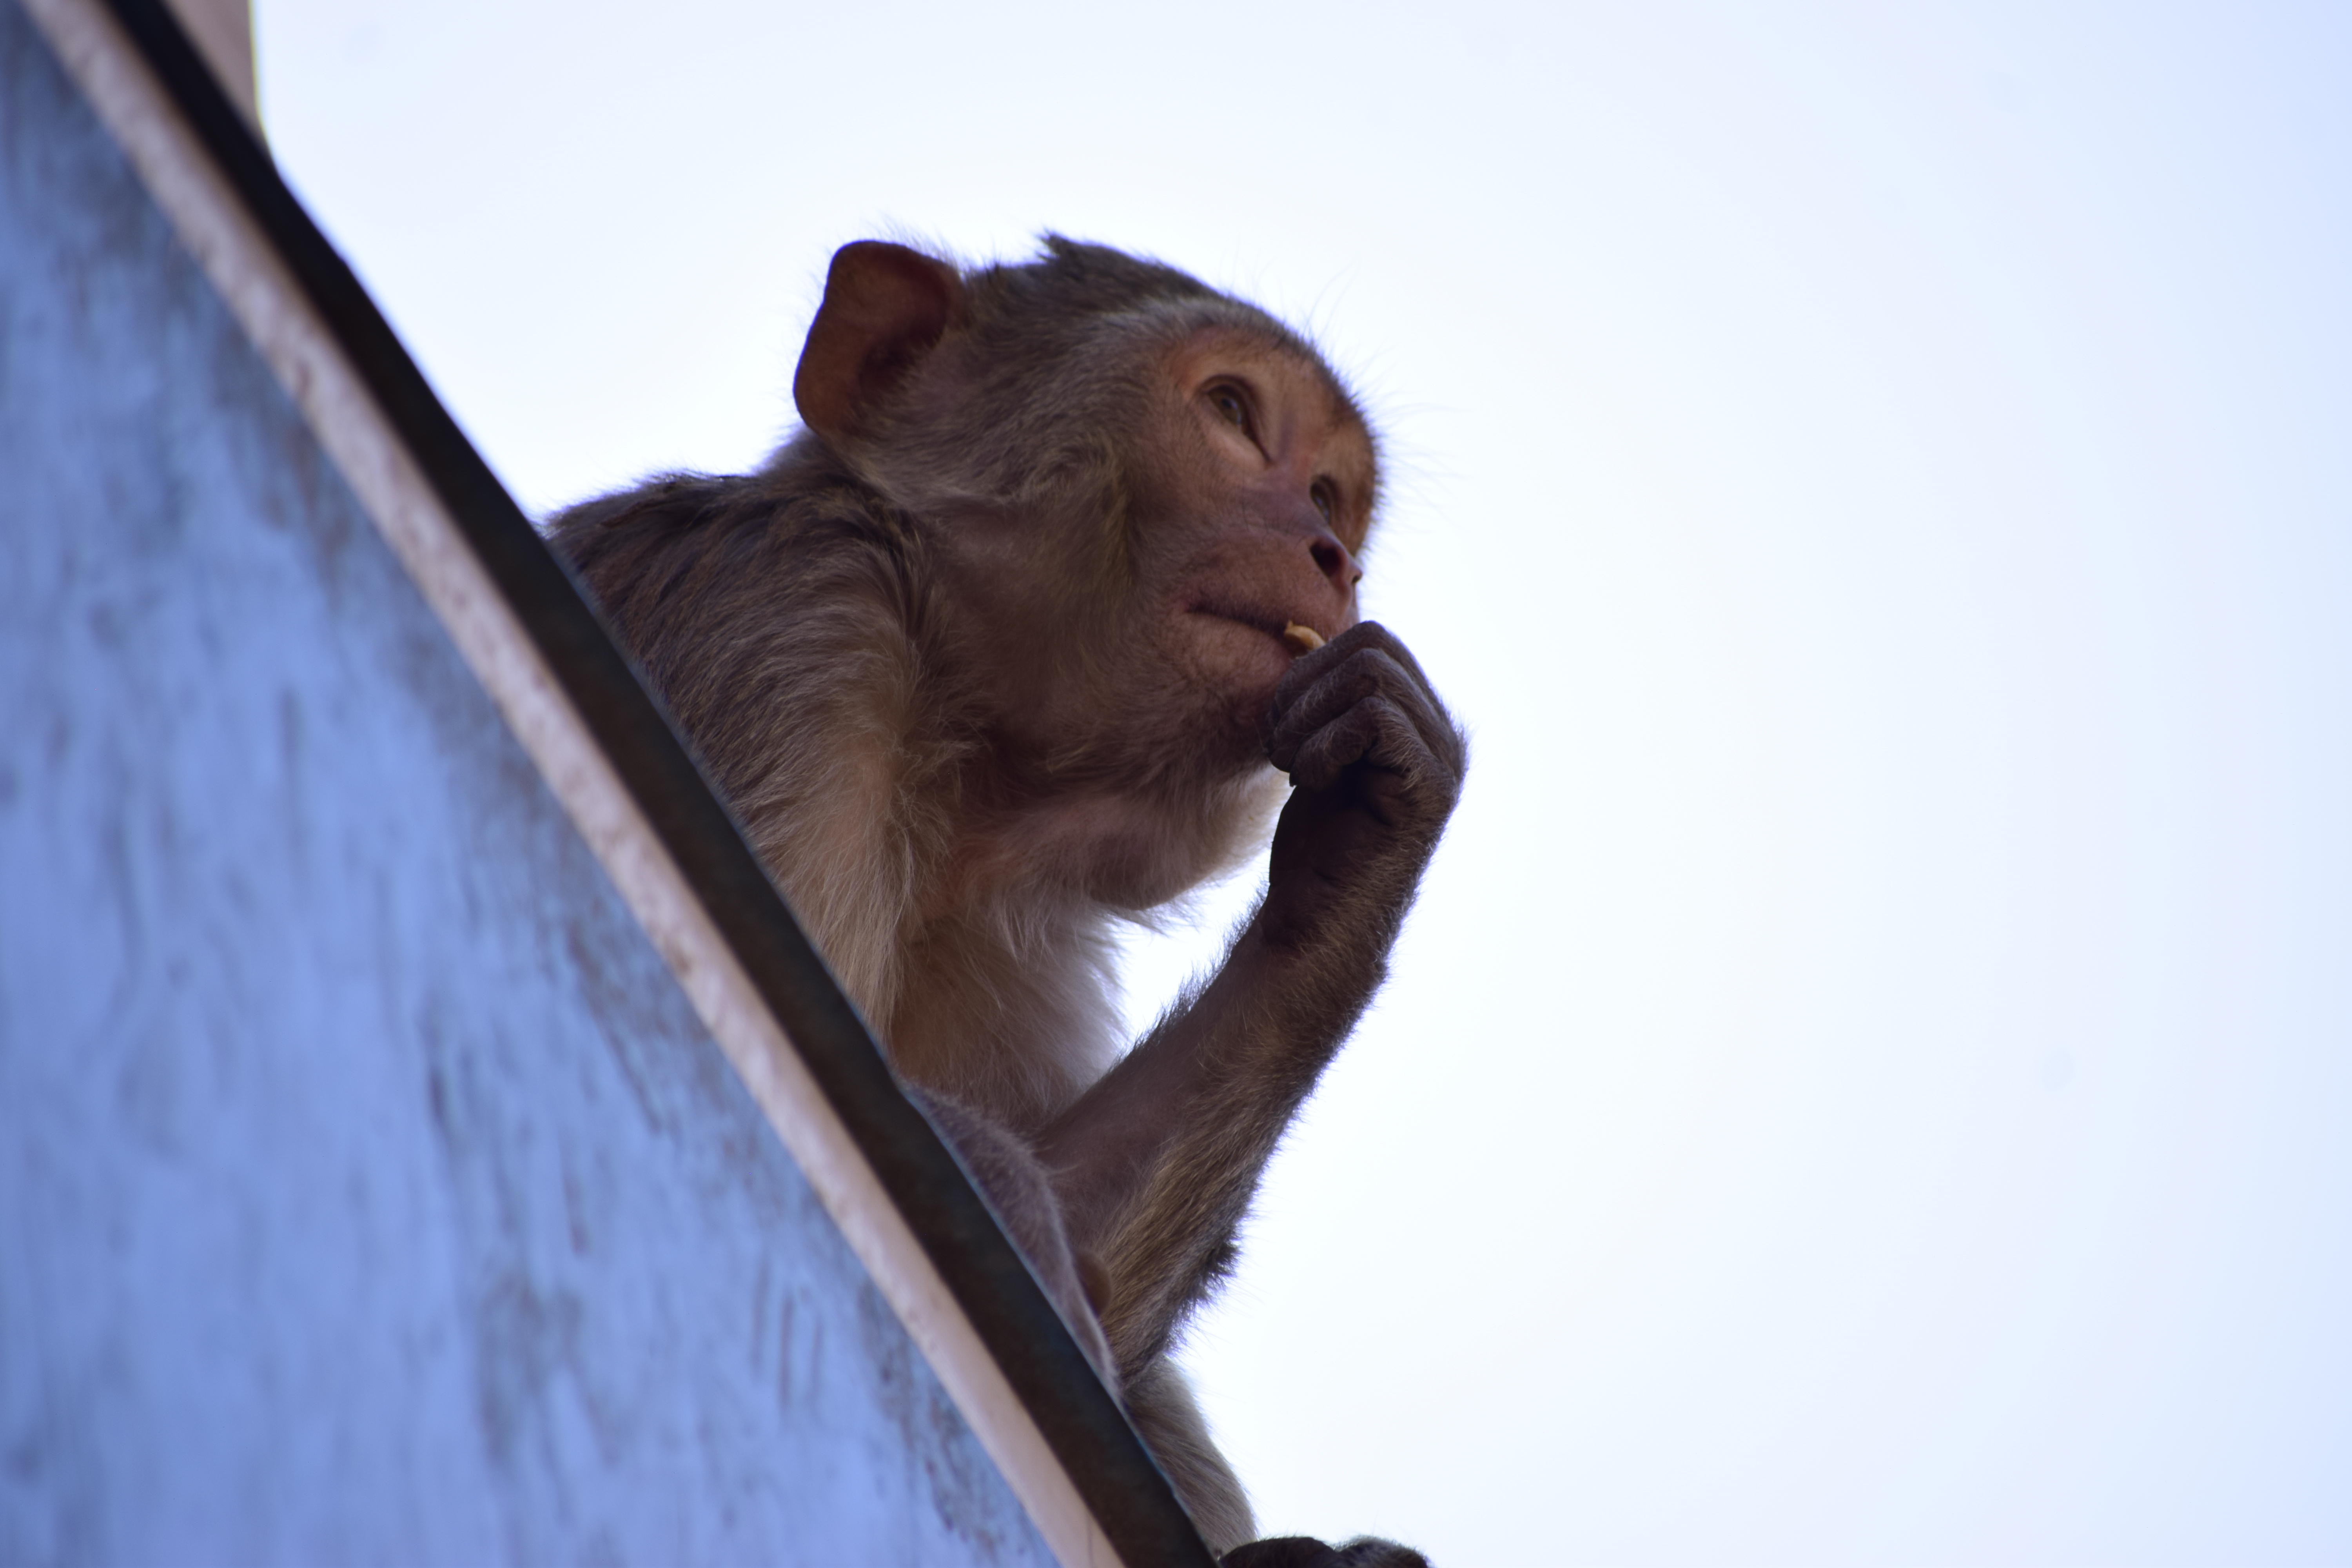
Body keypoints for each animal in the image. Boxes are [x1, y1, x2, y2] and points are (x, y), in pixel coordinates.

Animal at [549, 237, 1463, 1567]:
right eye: (1234, 413)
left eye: (1333, 492)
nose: (1331, 558)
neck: (954, 725)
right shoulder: (788, 618)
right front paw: (1012, 1207)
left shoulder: (1008, 916)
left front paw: (1372, 831)